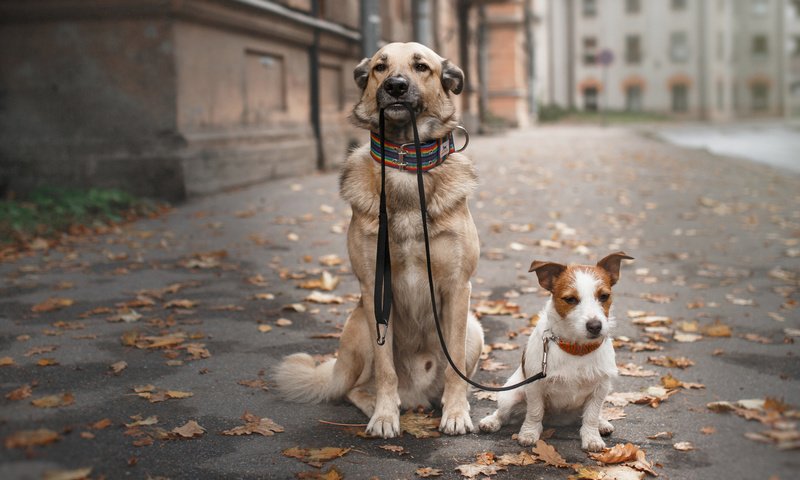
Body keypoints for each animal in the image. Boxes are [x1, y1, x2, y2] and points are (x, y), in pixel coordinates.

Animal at [276, 42, 484, 438]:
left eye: (421, 66)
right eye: (379, 67)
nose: (396, 87)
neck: (405, 162)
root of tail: (418, 394)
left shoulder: (458, 289)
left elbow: (455, 369)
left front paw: (456, 413)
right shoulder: (375, 288)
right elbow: (386, 370)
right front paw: (386, 415)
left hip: (473, 329)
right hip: (359, 323)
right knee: (355, 388)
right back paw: (378, 404)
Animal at [482, 253, 632, 452]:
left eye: (604, 296)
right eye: (570, 299)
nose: (595, 326)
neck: (576, 348)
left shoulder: (600, 388)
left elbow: (591, 416)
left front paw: (592, 437)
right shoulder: (535, 387)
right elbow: (535, 412)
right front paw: (529, 433)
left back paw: (602, 423)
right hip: (511, 395)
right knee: (503, 413)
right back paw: (491, 421)